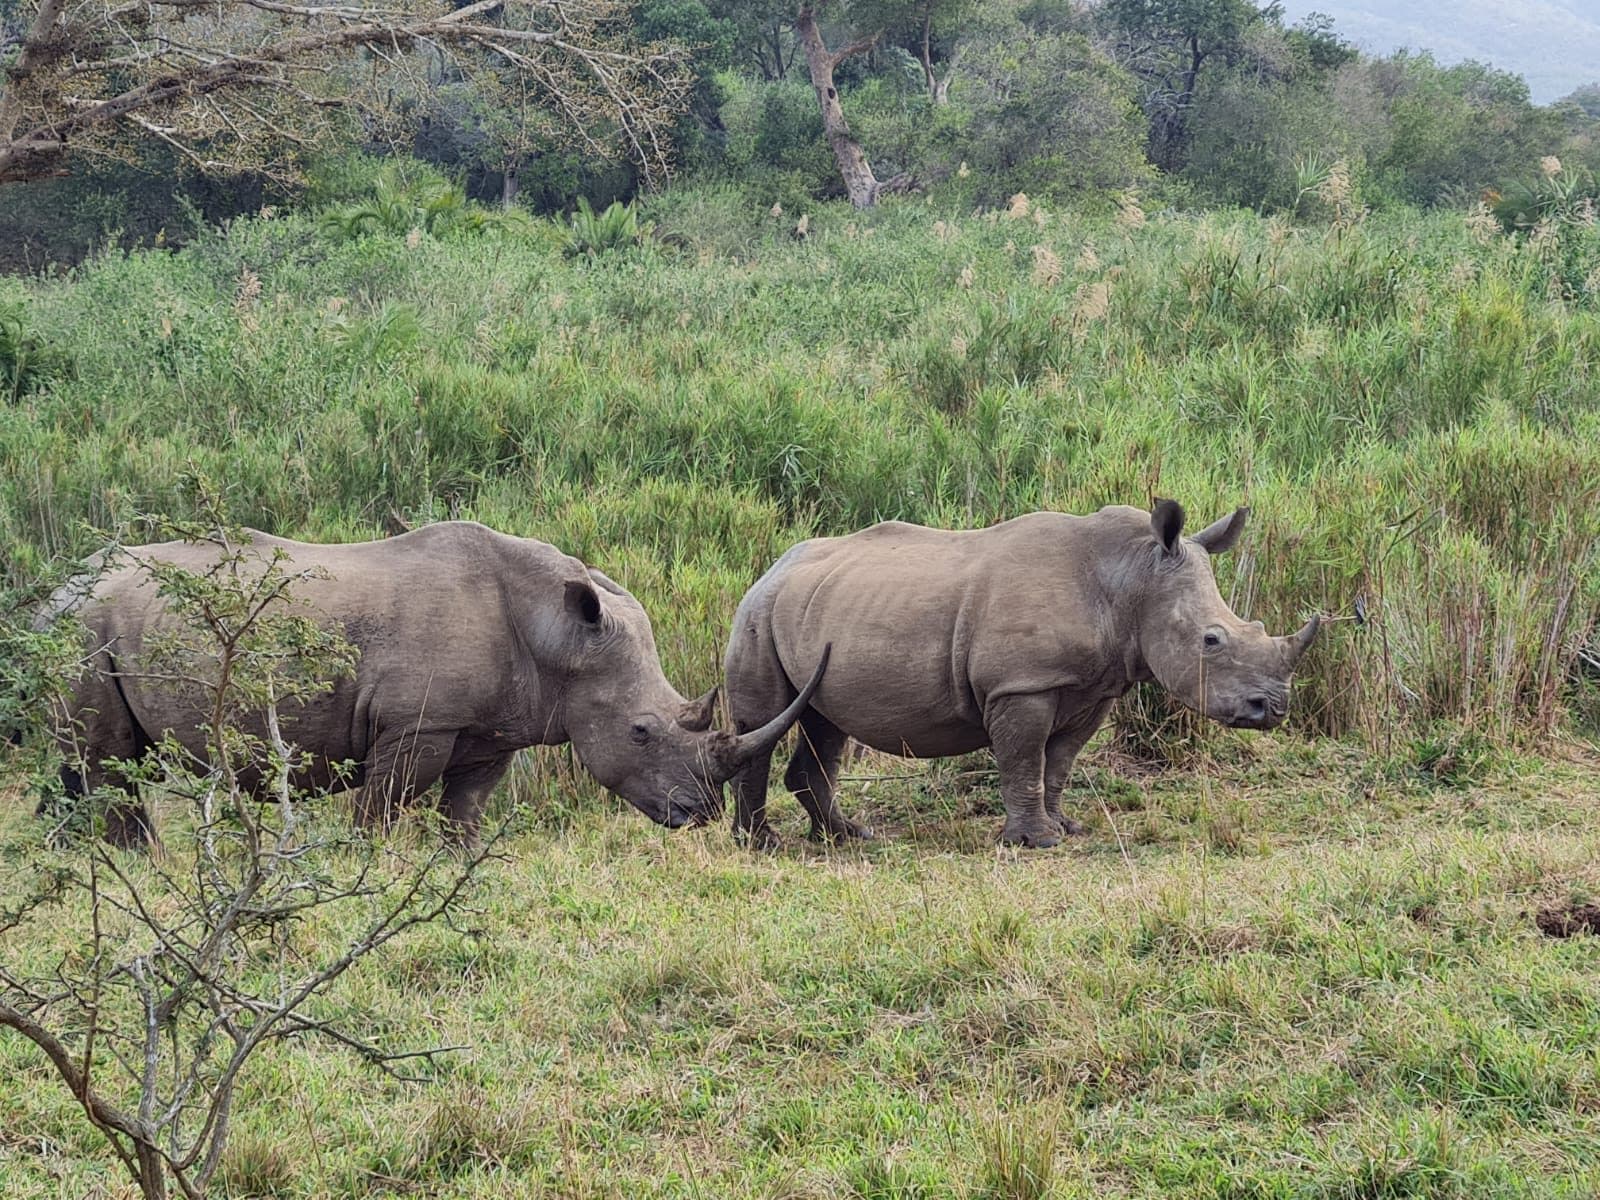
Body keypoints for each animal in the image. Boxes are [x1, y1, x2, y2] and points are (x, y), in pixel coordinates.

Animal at [44, 521, 826, 849]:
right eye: (640, 731)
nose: (698, 812)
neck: (558, 637)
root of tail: (59, 587)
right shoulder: (416, 723)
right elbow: (383, 806)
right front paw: (368, 866)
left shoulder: (492, 728)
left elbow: (466, 807)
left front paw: (458, 860)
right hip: (88, 627)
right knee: (105, 759)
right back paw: (140, 860)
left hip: (89, 625)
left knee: (85, 759)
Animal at [722, 500, 1319, 848]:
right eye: (1211, 641)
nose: (1273, 709)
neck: (1129, 577)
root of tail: (772, 568)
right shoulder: (1022, 684)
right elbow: (1023, 758)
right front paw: (1037, 841)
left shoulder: (1094, 687)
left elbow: (1058, 763)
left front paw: (1066, 827)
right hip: (758, 613)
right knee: (768, 720)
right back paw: (763, 844)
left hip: (816, 608)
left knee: (825, 723)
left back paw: (847, 836)